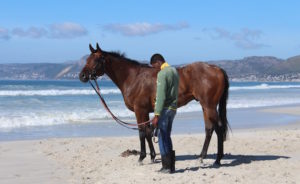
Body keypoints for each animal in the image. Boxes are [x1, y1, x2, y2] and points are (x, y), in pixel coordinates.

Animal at [79, 43, 230, 165]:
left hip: (209, 106)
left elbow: (141, 132)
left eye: (96, 60)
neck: (133, 77)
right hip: (205, 106)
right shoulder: (145, 111)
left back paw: (217, 160)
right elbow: (147, 132)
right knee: (209, 129)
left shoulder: (139, 110)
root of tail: (217, 69)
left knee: (218, 129)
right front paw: (152, 156)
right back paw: (202, 157)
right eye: (87, 59)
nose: (82, 76)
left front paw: (141, 157)